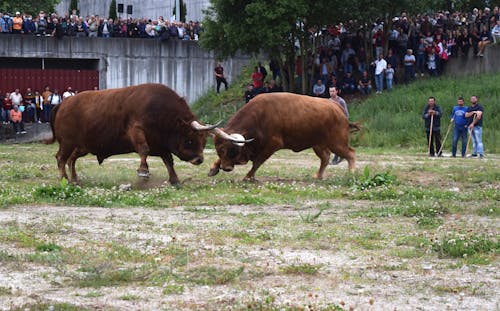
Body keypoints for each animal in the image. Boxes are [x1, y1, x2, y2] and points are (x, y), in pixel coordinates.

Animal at [47, 83, 217, 185]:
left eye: (203, 142)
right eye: (190, 140)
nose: (199, 159)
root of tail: (63, 104)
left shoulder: (161, 144)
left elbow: (168, 161)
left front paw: (174, 180)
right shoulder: (137, 130)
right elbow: (144, 150)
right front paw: (143, 172)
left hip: (81, 147)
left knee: (71, 159)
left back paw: (75, 179)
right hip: (68, 143)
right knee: (61, 158)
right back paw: (64, 178)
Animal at [208, 92, 360, 180]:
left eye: (226, 149)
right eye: (218, 149)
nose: (226, 168)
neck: (259, 116)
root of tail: (337, 108)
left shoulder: (273, 145)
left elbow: (257, 162)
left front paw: (248, 177)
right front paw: (213, 168)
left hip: (337, 142)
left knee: (350, 153)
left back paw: (352, 172)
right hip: (318, 145)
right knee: (326, 157)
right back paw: (318, 175)